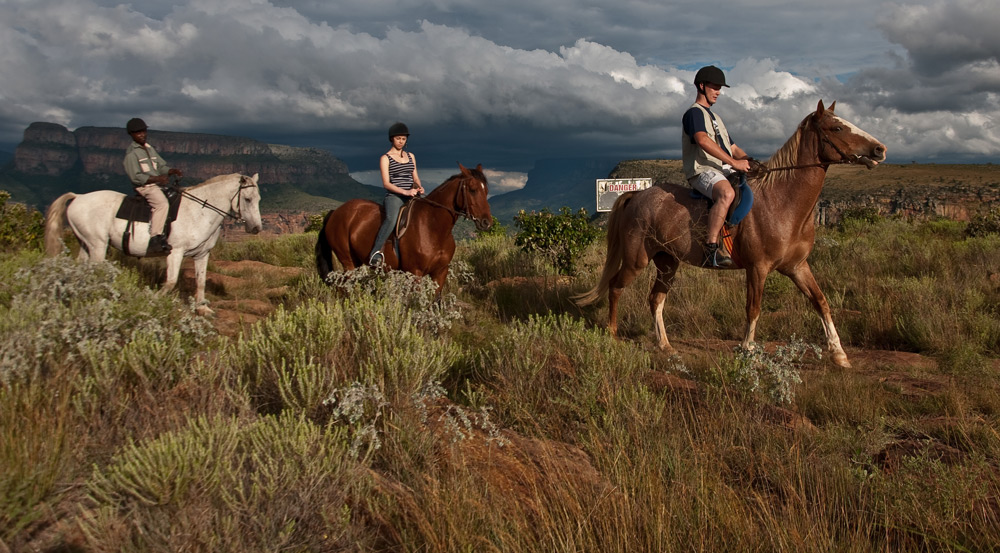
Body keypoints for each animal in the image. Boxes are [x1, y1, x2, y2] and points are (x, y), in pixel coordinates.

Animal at [44, 172, 262, 312]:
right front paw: (152, 300)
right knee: (96, 272)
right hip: (98, 245)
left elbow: (200, 281)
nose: (256, 229)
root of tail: (78, 196)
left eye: (259, 199)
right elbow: (171, 282)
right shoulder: (175, 252)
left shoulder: (202, 254)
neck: (199, 211)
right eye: (248, 199)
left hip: (85, 244)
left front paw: (202, 309)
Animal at [316, 161, 492, 288]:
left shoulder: (440, 272)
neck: (433, 227)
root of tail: (336, 212)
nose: (486, 222)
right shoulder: (415, 273)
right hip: (348, 262)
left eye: (486, 191)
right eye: (472, 189)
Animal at [576, 100, 888, 366]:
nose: (880, 150)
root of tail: (638, 194)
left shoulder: (798, 266)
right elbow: (754, 308)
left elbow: (821, 302)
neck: (782, 201)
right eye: (837, 128)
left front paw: (838, 353)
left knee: (656, 299)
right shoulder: (757, 268)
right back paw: (613, 334)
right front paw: (748, 350)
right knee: (616, 287)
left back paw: (665, 345)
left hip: (668, 262)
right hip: (636, 260)